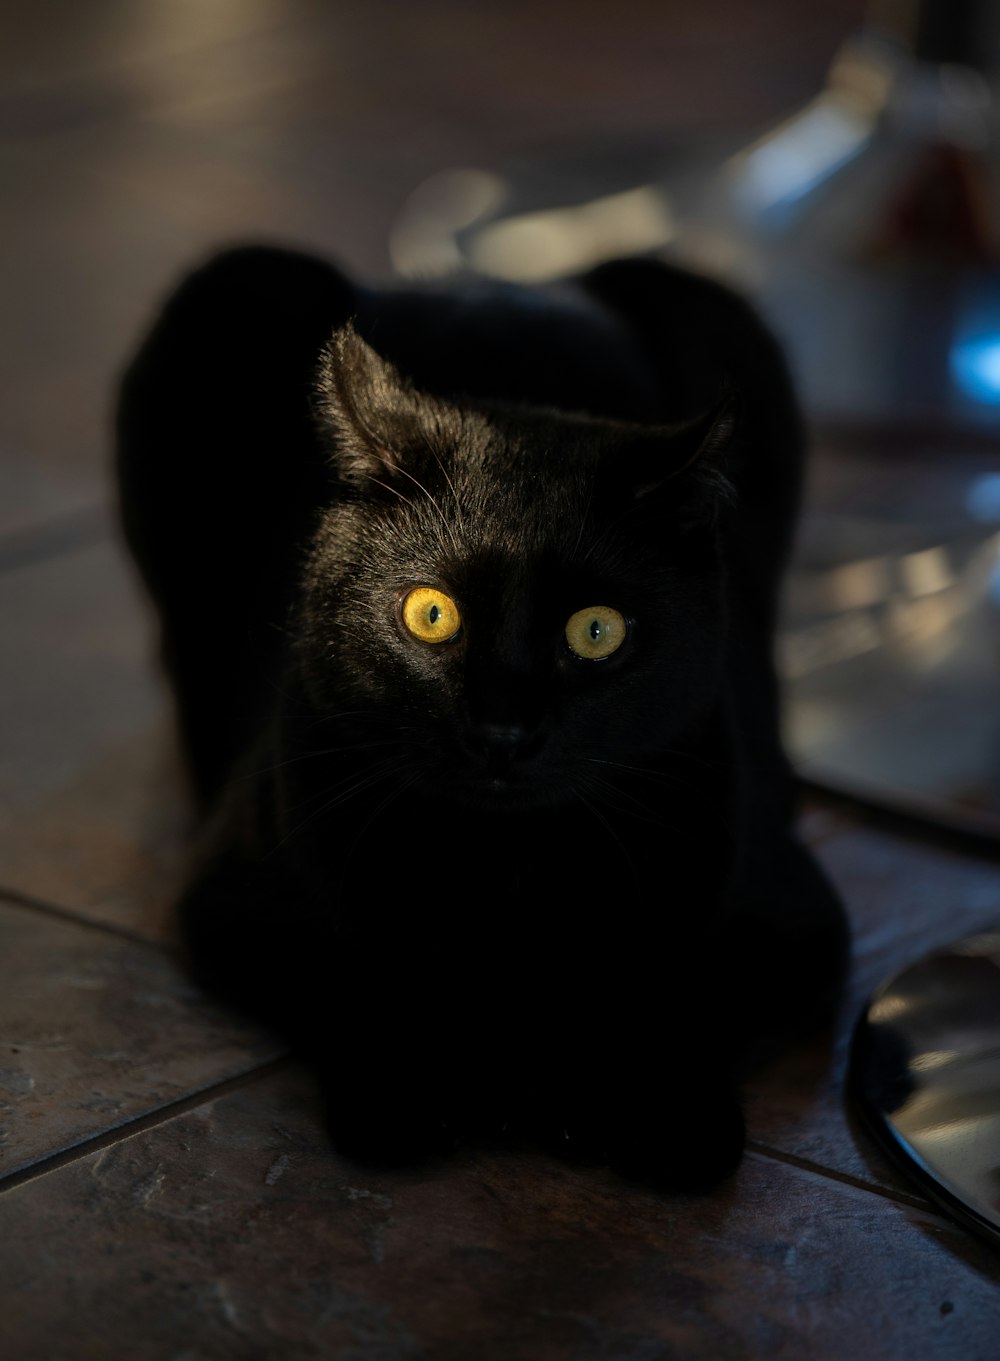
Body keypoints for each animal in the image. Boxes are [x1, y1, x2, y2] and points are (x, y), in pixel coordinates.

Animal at [119, 244, 854, 1192]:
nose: (503, 730)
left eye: (596, 631)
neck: (508, 873)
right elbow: (357, 983)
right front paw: (432, 1093)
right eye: (430, 614)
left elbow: (684, 1001)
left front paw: (651, 1116)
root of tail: (475, 280)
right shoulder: (238, 904)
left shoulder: (795, 924)